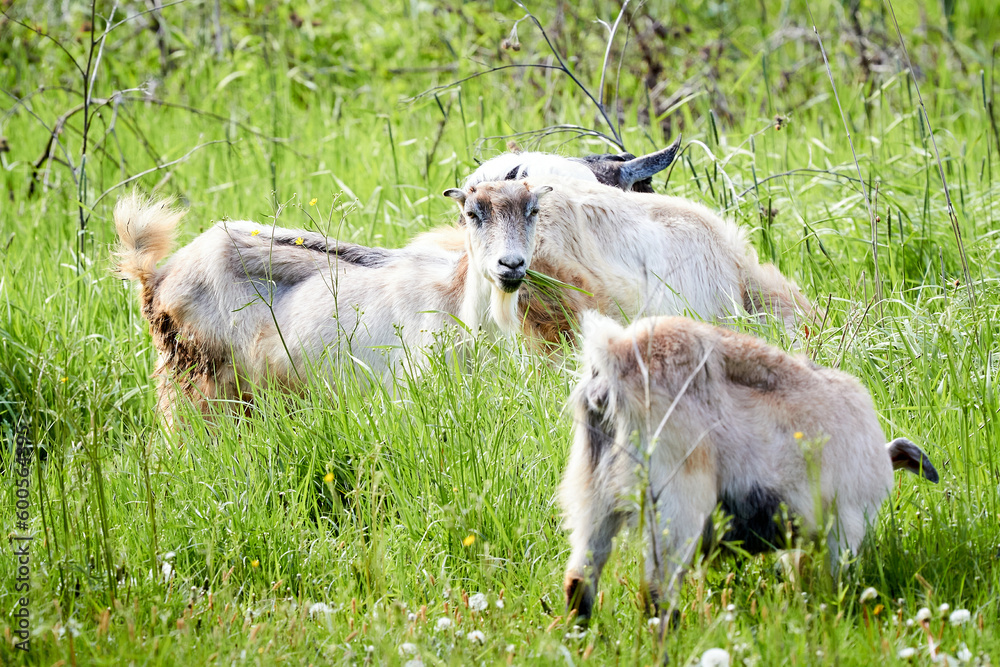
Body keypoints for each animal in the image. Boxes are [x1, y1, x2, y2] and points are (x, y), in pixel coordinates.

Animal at [113, 182, 550, 425]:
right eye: (473, 213)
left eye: (533, 211)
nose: (511, 265)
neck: (459, 304)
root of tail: (156, 277)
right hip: (194, 381)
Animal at [559, 312, 939, 623]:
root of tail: (616, 359)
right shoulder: (846, 519)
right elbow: (836, 577)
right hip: (677, 503)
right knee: (656, 594)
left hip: (594, 494)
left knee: (580, 581)